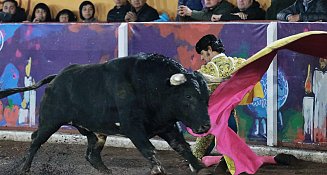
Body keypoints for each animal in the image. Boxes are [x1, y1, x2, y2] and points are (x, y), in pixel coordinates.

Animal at [0, 54, 213, 174]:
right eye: (188, 96)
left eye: (207, 97)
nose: (206, 125)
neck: (151, 85)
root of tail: (56, 78)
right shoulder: (133, 127)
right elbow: (150, 150)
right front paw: (157, 170)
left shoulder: (167, 126)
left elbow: (182, 147)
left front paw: (200, 168)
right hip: (50, 121)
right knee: (36, 140)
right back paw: (25, 168)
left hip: (94, 129)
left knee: (92, 154)